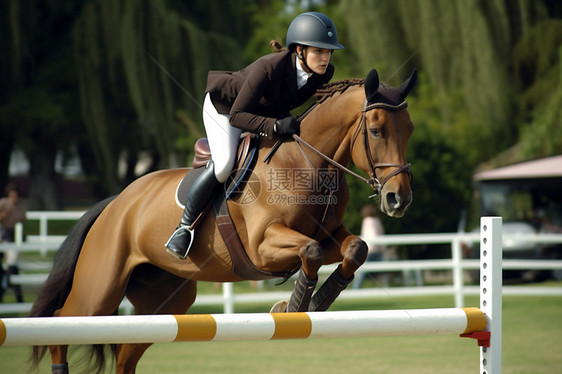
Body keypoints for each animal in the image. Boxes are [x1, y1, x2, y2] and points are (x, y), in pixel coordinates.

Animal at [29, 68, 416, 374]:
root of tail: (116, 203)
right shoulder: (262, 246)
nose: (399, 199)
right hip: (99, 290)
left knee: (126, 354)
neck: (307, 165)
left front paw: (313, 304)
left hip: (165, 301)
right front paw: (292, 307)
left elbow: (355, 249)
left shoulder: (330, 233)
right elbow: (310, 252)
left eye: (409, 129)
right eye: (377, 131)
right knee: (62, 321)